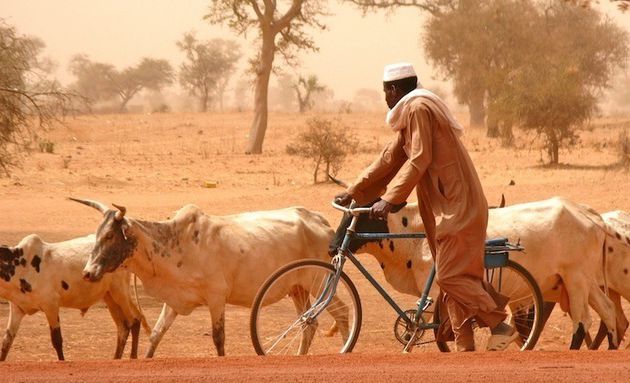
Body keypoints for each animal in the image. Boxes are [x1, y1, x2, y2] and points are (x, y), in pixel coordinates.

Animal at [0, 232, 149, 362]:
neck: (20, 266)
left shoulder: (51, 306)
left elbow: (57, 340)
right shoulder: (17, 309)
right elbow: (6, 342)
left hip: (120, 292)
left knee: (134, 321)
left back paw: (132, 357)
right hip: (110, 297)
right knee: (124, 327)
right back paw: (116, 358)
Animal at [330, 196, 624, 350]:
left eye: (359, 216)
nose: (333, 245)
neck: (412, 233)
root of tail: (590, 215)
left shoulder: (437, 288)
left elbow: (434, 325)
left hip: (575, 280)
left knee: (582, 322)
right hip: (586, 281)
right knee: (609, 312)